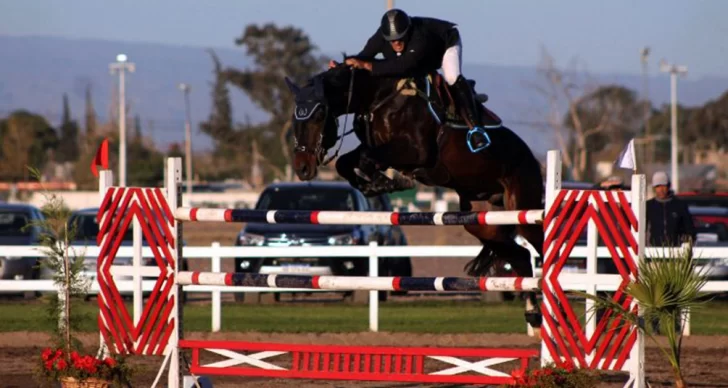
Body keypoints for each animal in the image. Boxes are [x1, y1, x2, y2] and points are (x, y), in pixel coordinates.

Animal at [284, 65, 544, 328]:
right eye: (295, 119)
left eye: (319, 115)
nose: (302, 168)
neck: (378, 100)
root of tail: (532, 159)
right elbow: (347, 162)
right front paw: (375, 185)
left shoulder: (415, 152)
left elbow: (367, 157)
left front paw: (389, 181)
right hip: (484, 223)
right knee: (521, 256)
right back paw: (533, 313)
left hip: (524, 209)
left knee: (539, 246)